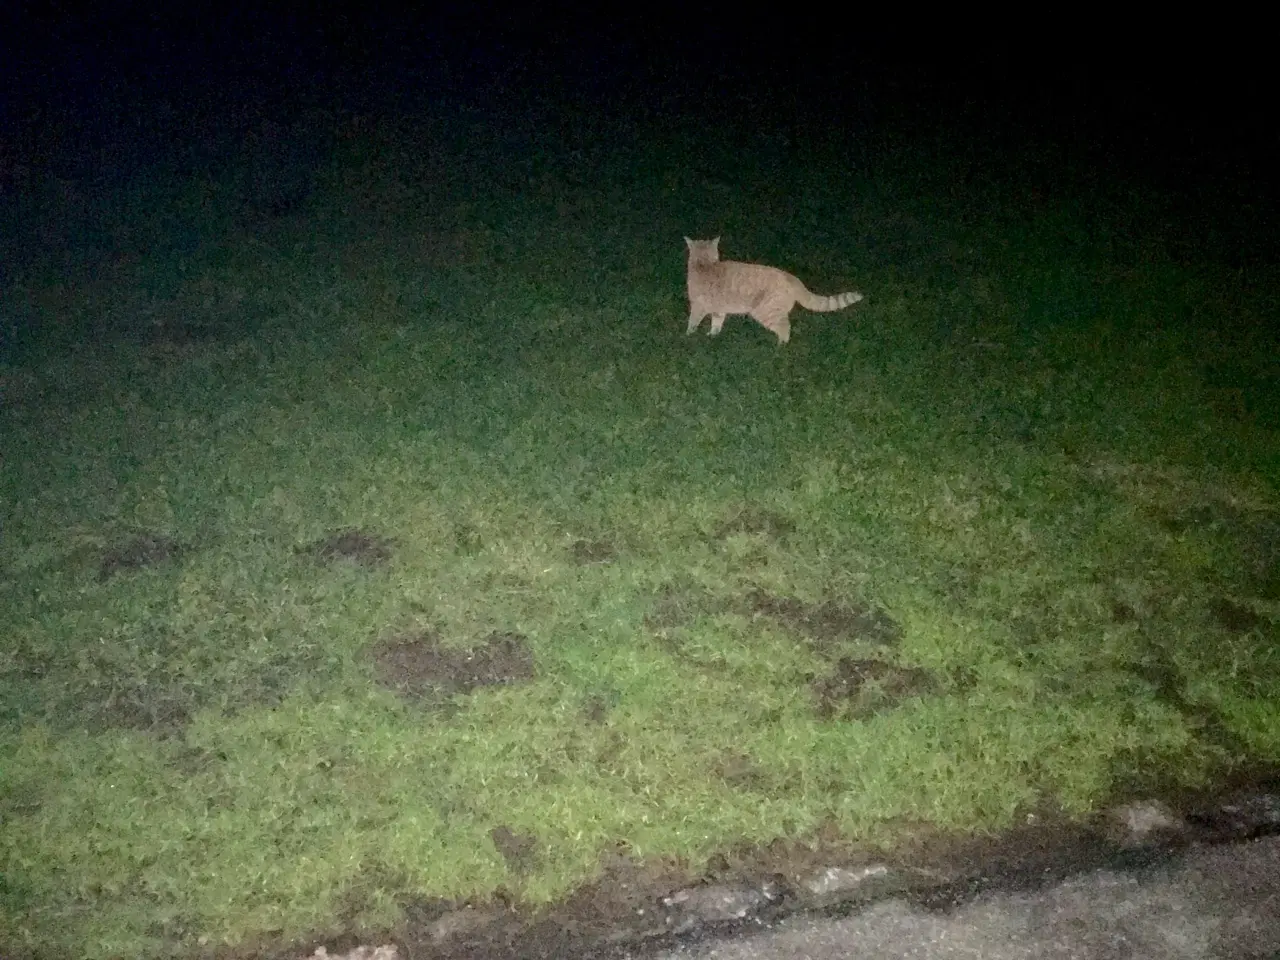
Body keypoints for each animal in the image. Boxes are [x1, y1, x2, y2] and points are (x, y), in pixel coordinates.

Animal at [686, 238, 865, 345]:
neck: (704, 264)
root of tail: (790, 276)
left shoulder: (698, 306)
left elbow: (692, 322)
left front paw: (688, 336)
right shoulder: (719, 309)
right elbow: (716, 323)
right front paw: (713, 336)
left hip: (764, 311)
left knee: (785, 326)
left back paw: (780, 347)